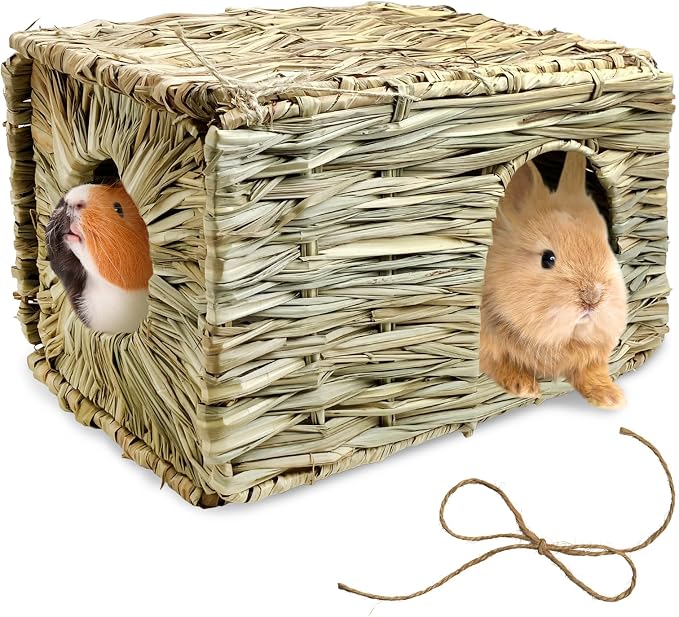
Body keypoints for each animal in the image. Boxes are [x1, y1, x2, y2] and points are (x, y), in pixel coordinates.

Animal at [480, 151, 628, 409]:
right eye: (547, 259)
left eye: (607, 245)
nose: (593, 297)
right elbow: (497, 363)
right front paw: (524, 387)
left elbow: (592, 372)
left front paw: (610, 397)